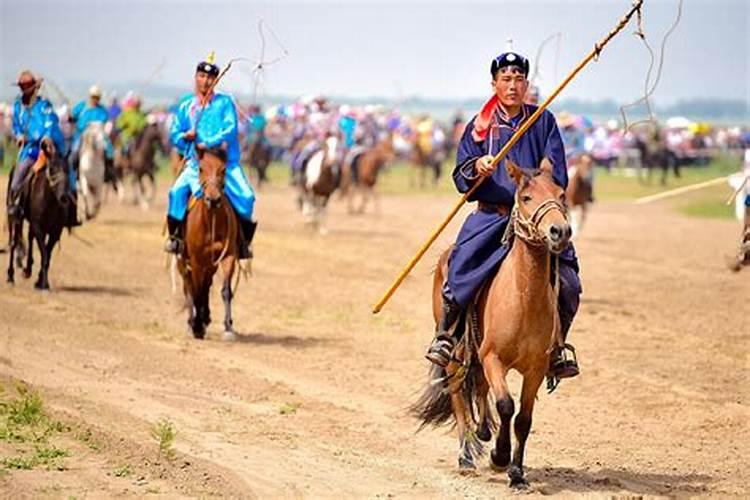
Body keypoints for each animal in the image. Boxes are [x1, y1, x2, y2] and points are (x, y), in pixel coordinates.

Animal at [414, 157, 572, 488]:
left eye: (561, 194)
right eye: (526, 197)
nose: (559, 231)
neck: (524, 297)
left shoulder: (536, 368)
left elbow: (523, 419)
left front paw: (517, 473)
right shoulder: (493, 357)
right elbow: (506, 405)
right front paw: (500, 457)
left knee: (479, 388)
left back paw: (484, 430)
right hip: (456, 354)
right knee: (459, 397)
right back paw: (465, 456)